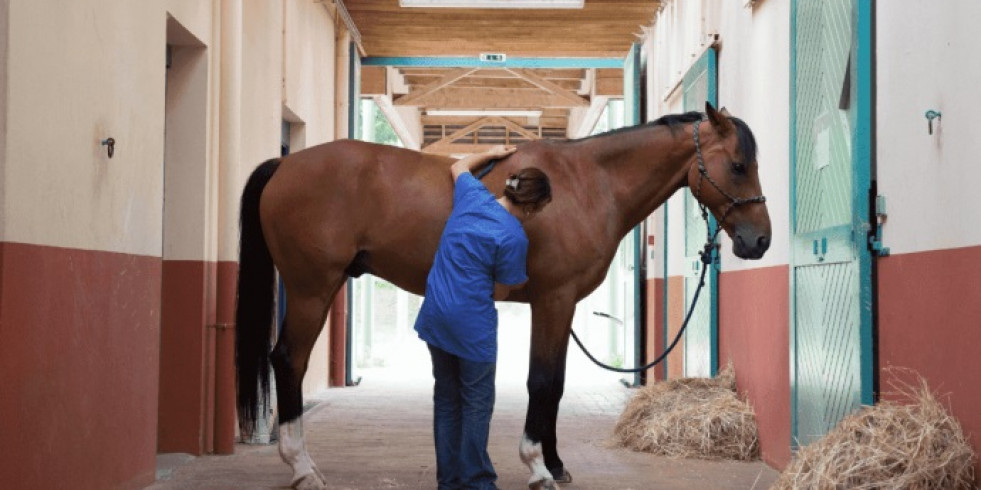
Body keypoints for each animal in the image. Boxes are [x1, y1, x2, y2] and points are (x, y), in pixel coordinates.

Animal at [234, 101, 768, 488]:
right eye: (738, 165)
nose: (759, 241)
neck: (587, 184)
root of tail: (285, 164)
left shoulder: (561, 307)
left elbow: (555, 384)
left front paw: (556, 464)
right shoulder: (554, 301)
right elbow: (543, 382)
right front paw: (537, 465)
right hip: (311, 288)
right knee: (288, 360)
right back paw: (303, 467)